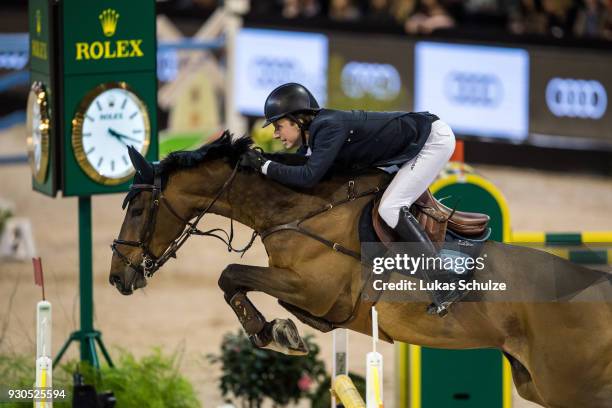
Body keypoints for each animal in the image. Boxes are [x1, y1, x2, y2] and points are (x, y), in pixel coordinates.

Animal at [109, 132, 612, 406]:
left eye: (138, 207)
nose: (118, 277)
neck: (301, 208)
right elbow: (238, 281)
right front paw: (280, 330)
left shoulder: (314, 288)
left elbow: (230, 273)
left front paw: (275, 334)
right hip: (540, 385)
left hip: (566, 385)